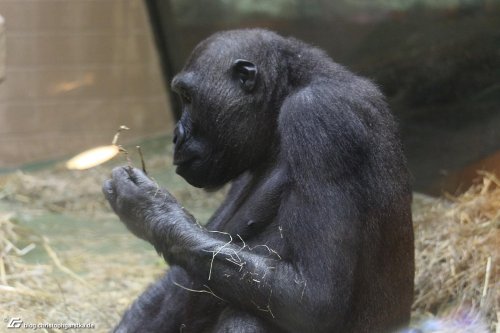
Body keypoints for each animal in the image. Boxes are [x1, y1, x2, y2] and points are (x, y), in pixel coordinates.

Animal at [102, 29, 414, 332]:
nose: (176, 136)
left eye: (188, 98)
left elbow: (316, 297)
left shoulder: (319, 117)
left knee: (247, 316)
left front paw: (150, 209)